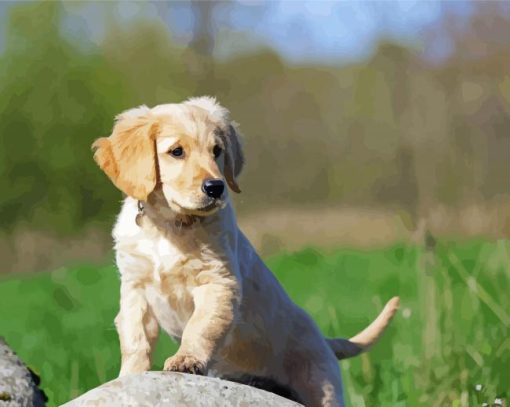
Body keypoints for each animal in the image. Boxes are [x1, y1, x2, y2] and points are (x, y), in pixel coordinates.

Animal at [93, 97, 400, 406]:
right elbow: (135, 339)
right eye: (176, 151)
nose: (216, 187)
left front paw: (186, 359)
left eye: (217, 151)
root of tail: (324, 341)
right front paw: (128, 375)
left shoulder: (218, 283)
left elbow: (200, 328)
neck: (171, 225)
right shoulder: (135, 289)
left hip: (320, 386)